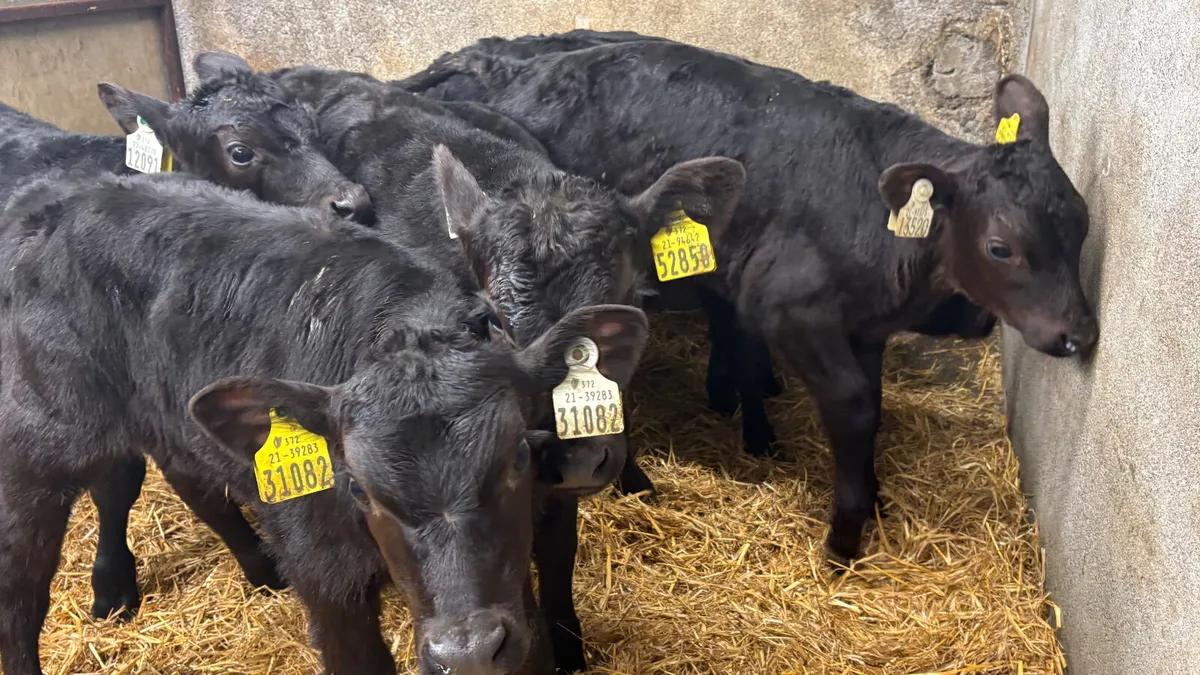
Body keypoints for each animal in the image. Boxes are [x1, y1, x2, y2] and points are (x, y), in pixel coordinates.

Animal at [0, 167, 649, 675]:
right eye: (356, 487)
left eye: (518, 455)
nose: (465, 651)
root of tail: (51, 196)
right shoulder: (326, 569)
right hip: (39, 433)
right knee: (25, 576)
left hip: (166, 415)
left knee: (166, 480)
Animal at [399, 32, 1099, 565]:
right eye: (1002, 247)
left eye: (1082, 222)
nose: (1079, 334)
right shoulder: (789, 310)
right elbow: (852, 407)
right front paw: (844, 538)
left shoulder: (865, 327)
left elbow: (872, 402)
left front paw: (873, 496)